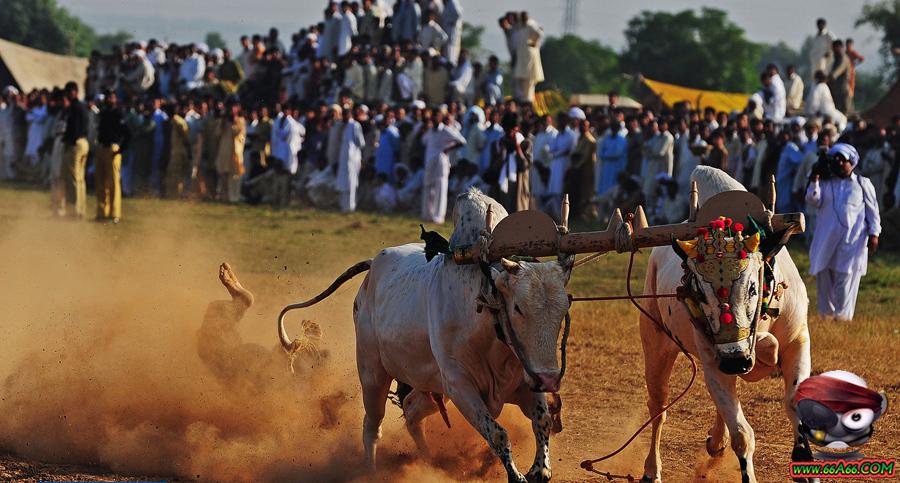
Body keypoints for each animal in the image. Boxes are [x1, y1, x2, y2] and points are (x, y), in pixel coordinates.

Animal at [280, 189, 576, 483]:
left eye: (564, 309)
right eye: (518, 308)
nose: (549, 379)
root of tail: (373, 266)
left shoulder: (524, 380)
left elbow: (542, 421)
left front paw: (541, 469)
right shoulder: (460, 386)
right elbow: (498, 434)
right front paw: (518, 475)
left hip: (429, 386)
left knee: (411, 410)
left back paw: (429, 461)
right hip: (372, 375)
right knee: (372, 425)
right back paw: (372, 470)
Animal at [640, 167, 816, 483]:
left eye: (752, 287)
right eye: (699, 292)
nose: (736, 360)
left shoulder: (798, 341)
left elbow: (795, 402)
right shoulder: (714, 361)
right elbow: (742, 434)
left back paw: (716, 441)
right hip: (656, 346)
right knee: (658, 408)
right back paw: (652, 469)